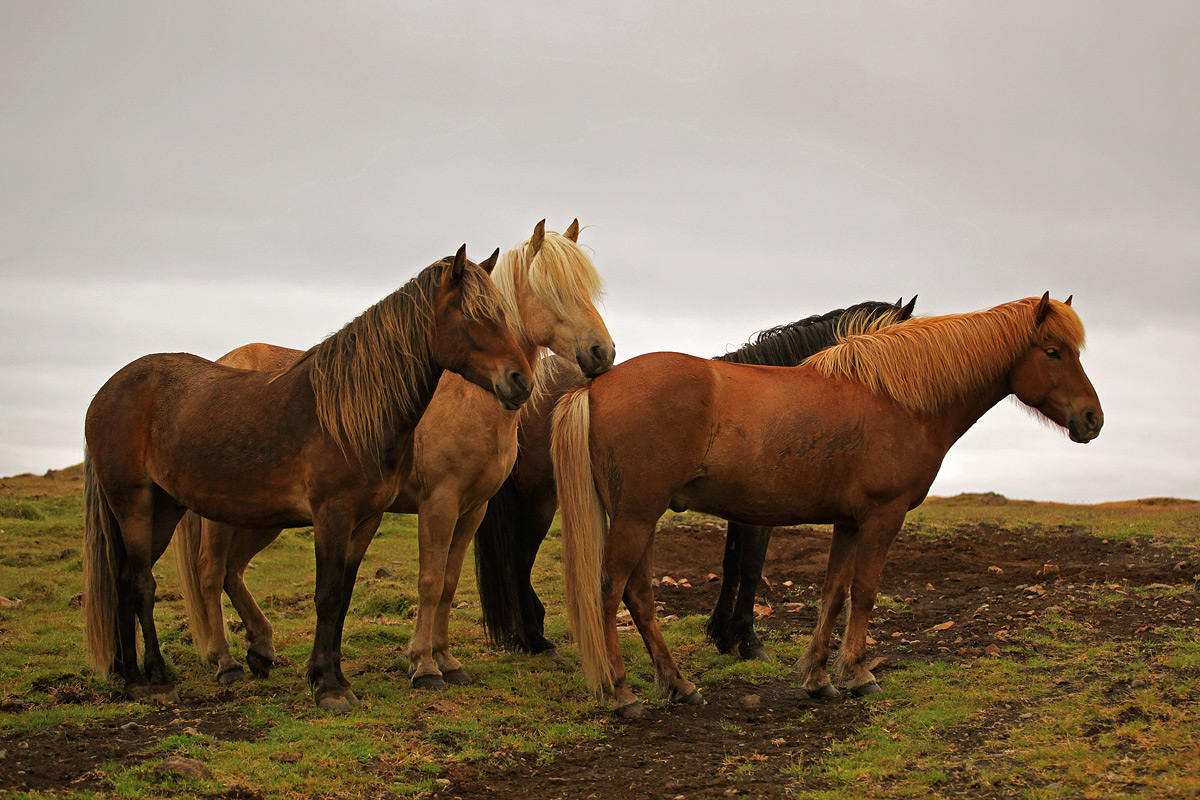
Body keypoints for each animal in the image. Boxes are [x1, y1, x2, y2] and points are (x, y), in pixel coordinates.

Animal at [84, 247, 534, 711]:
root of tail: (108, 391)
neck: (350, 414)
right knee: (146, 583)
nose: (520, 381)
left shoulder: (367, 519)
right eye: (471, 314)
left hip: (166, 509)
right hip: (136, 505)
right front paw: (330, 687)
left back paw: (133, 676)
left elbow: (343, 597)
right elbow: (328, 596)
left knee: (128, 580)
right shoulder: (333, 515)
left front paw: (334, 678)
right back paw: (158, 678)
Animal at [170, 220, 613, 690]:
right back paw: (224, 661)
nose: (602, 352)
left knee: (233, 571)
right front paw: (424, 666)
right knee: (211, 573)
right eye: (552, 289)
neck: (468, 397)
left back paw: (260, 649)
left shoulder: (472, 509)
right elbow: (431, 582)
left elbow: (450, 583)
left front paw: (447, 660)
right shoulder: (439, 504)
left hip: (262, 515)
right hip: (223, 515)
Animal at [473, 298, 917, 658]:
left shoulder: (743, 508)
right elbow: (751, 566)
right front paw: (747, 641)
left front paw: (722, 636)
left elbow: (733, 563)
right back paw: (534, 639)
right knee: (519, 559)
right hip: (540, 500)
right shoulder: (761, 512)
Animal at [552, 294, 1102, 718]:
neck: (898, 397)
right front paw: (858, 675)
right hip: (636, 516)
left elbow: (834, 594)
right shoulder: (882, 517)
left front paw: (819, 680)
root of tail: (596, 385)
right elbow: (865, 593)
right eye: (1053, 352)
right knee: (610, 592)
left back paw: (678, 685)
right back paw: (622, 695)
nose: (1092, 419)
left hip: (641, 517)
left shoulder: (849, 523)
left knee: (639, 596)